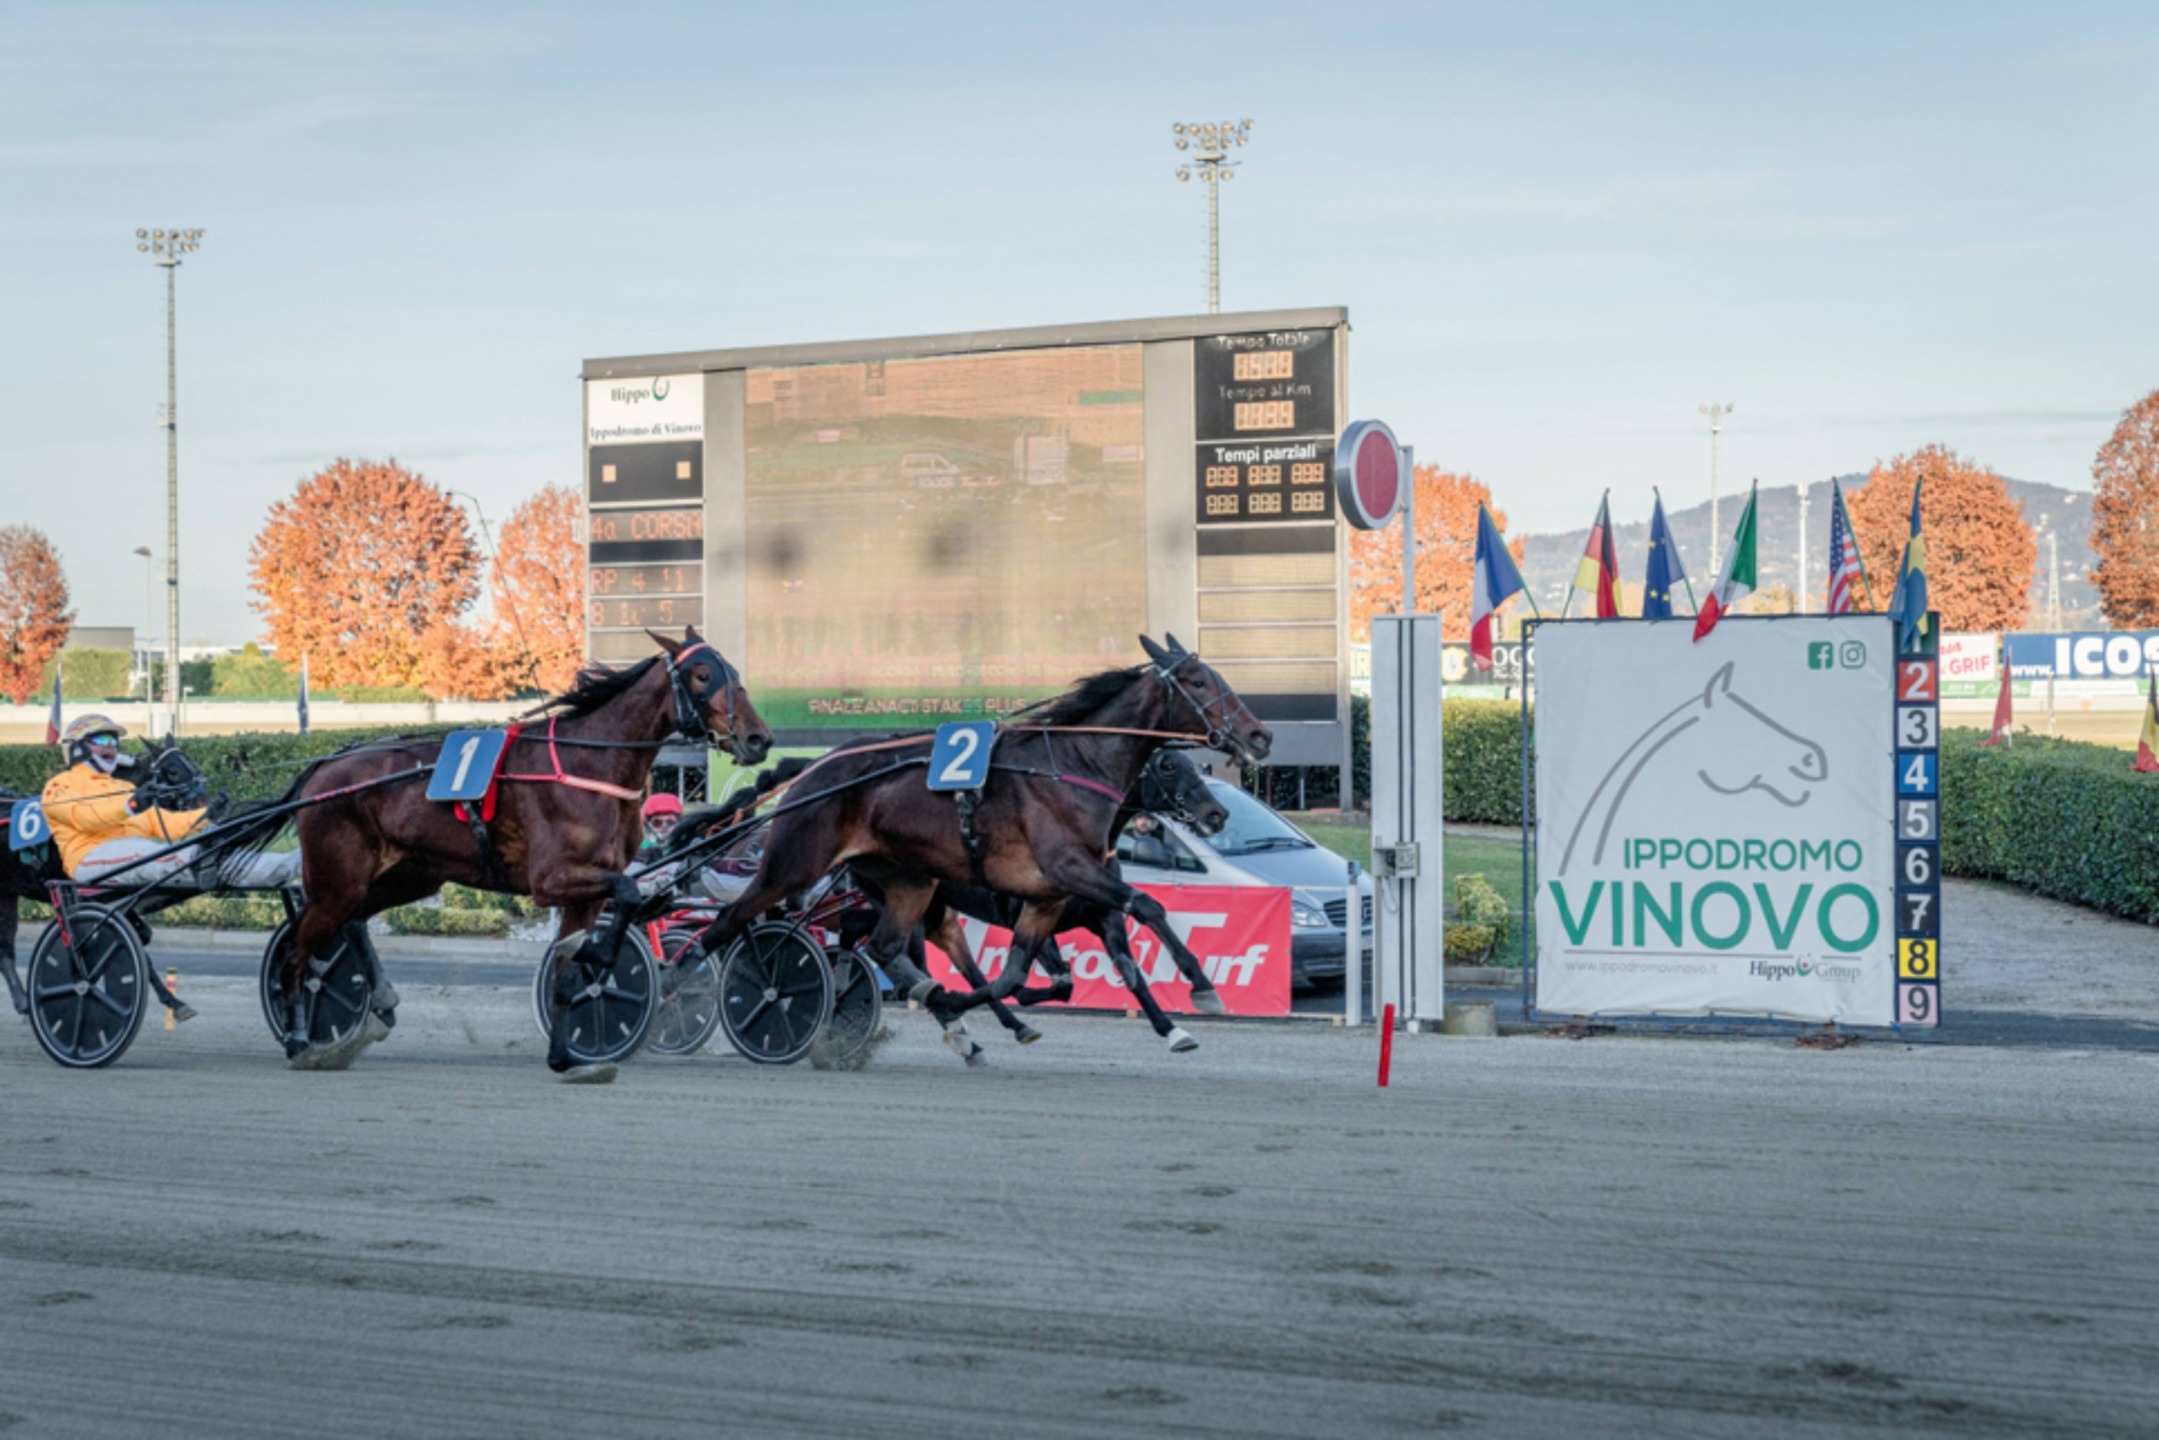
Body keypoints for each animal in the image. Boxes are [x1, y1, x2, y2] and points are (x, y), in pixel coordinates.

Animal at [274, 626, 772, 1075]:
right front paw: (601, 957)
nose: (758, 738)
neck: (589, 762)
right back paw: (300, 1041)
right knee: (297, 951)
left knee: (351, 921)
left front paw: (564, 1053)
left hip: (410, 876)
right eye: (703, 675)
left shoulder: (588, 891)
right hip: (336, 881)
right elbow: (629, 892)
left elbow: (571, 968)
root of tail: (322, 767)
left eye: (732, 672)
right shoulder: (552, 880)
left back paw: (380, 1001)